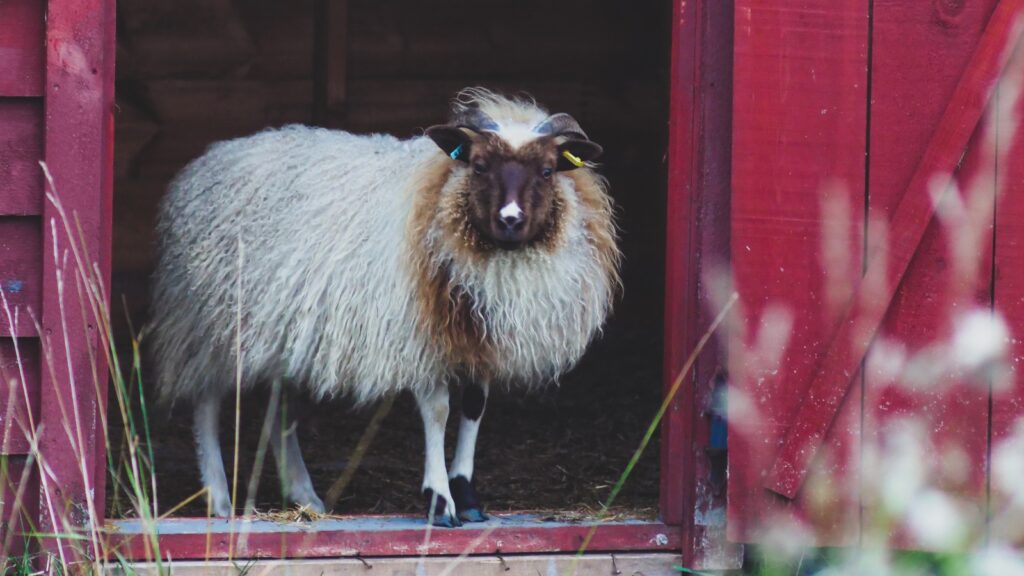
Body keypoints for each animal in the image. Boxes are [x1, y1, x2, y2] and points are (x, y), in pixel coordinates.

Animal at [150, 87, 621, 526]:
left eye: (547, 170)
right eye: (478, 166)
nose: (510, 220)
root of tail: (214, 155)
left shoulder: (479, 335)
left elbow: (473, 409)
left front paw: (467, 497)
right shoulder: (420, 336)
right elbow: (438, 411)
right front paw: (439, 501)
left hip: (283, 325)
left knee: (280, 409)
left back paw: (305, 496)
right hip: (209, 319)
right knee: (207, 400)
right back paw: (218, 497)